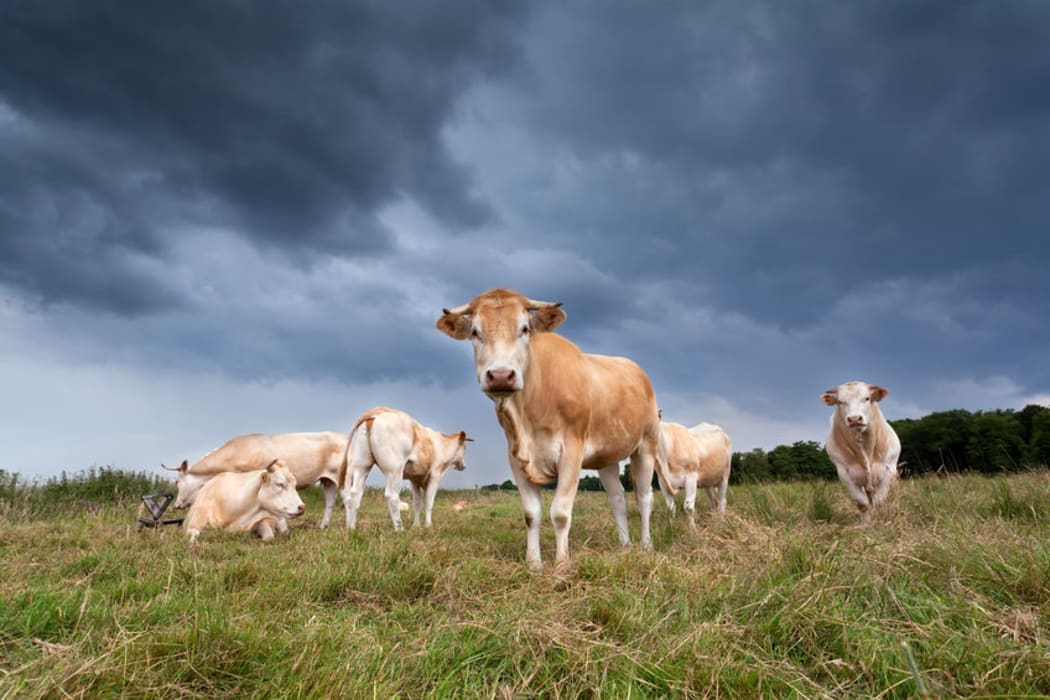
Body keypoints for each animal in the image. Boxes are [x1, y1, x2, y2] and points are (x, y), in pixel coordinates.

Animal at [339, 407, 469, 531]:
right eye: (465, 448)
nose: (464, 466)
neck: (441, 444)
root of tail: (377, 412)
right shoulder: (435, 475)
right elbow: (429, 502)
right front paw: (428, 525)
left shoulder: (414, 479)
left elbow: (417, 503)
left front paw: (416, 526)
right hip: (394, 470)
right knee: (391, 495)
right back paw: (399, 528)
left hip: (362, 466)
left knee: (355, 493)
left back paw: (352, 528)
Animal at [436, 288, 667, 572]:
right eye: (475, 332)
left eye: (524, 328)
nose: (501, 375)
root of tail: (638, 371)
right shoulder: (516, 456)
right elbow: (531, 514)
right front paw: (534, 564)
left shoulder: (572, 451)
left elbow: (560, 513)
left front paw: (561, 565)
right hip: (606, 458)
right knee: (618, 499)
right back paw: (624, 546)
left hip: (646, 445)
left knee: (644, 497)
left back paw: (646, 546)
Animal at [821, 381, 902, 521]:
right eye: (840, 402)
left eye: (867, 398)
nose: (854, 419)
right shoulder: (844, 473)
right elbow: (862, 503)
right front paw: (866, 523)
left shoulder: (889, 469)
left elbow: (879, 501)